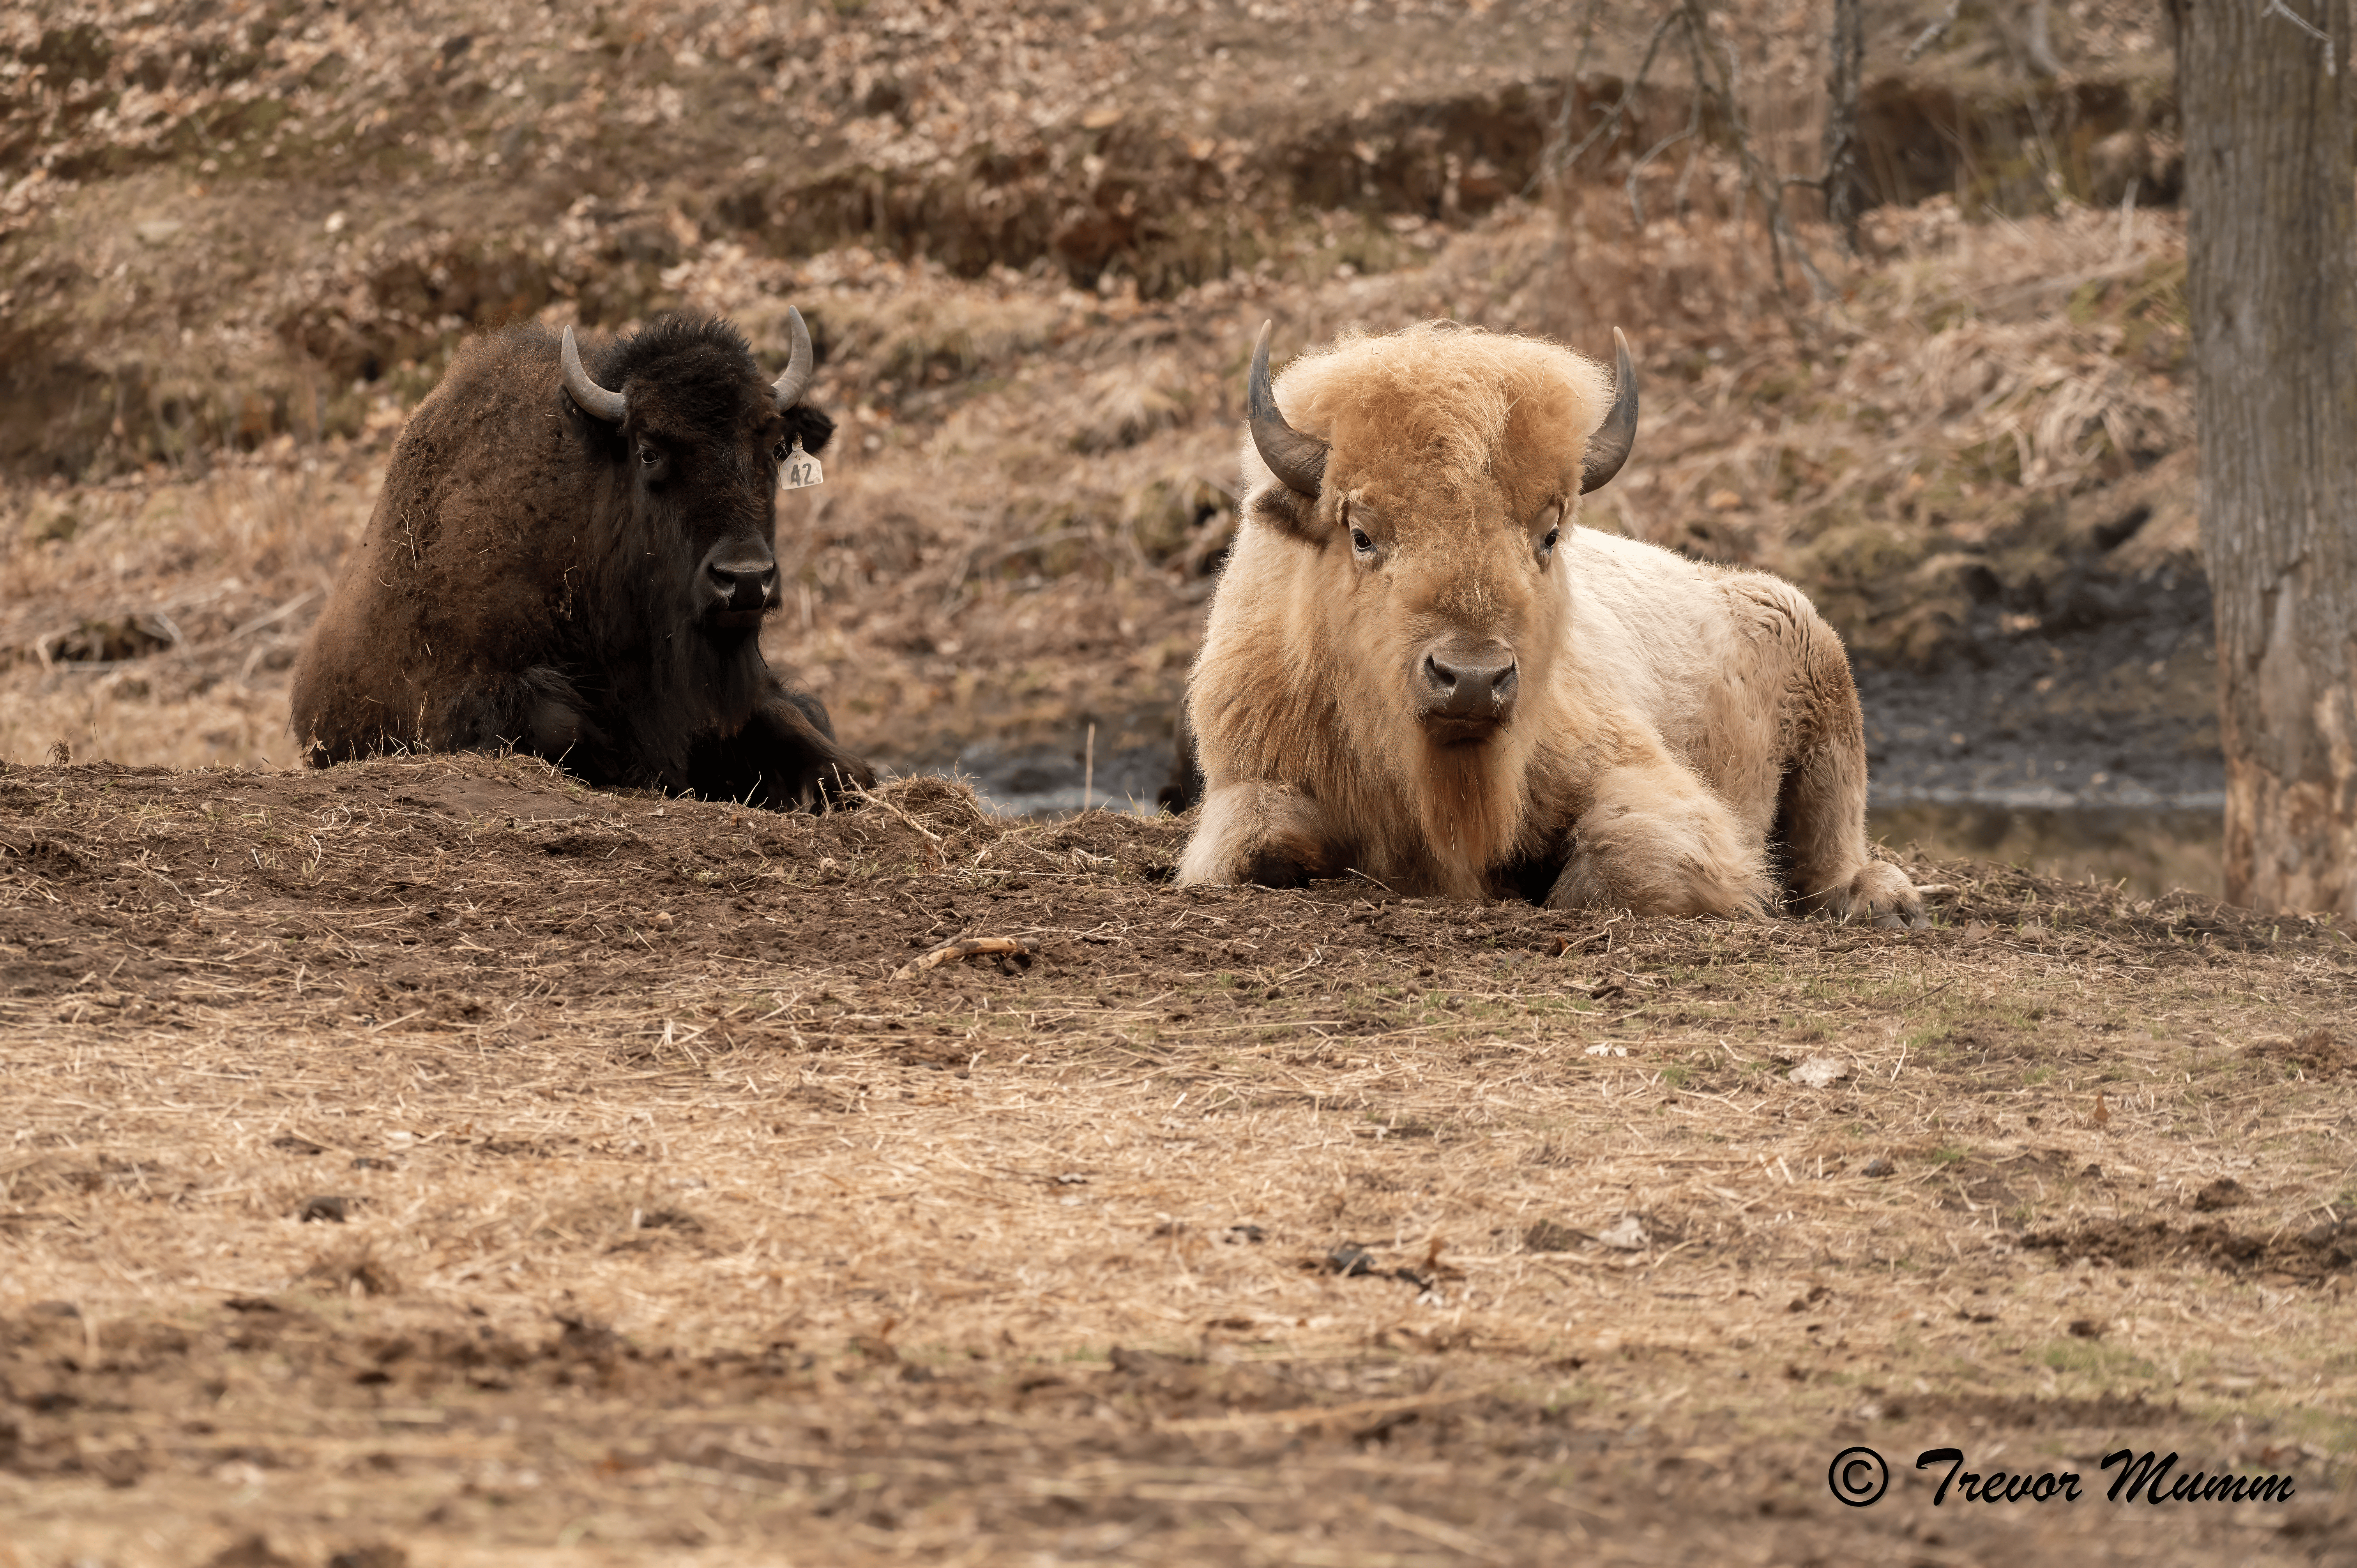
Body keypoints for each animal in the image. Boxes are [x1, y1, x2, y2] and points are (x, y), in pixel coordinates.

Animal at [1175, 319, 1926, 926]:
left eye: (1550, 532)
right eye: (1361, 533)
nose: (1472, 679)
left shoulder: (1634, 771)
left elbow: (1620, 863)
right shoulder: (1255, 776)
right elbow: (1258, 846)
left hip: (1828, 720)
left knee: (1832, 849)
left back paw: (1883, 902)